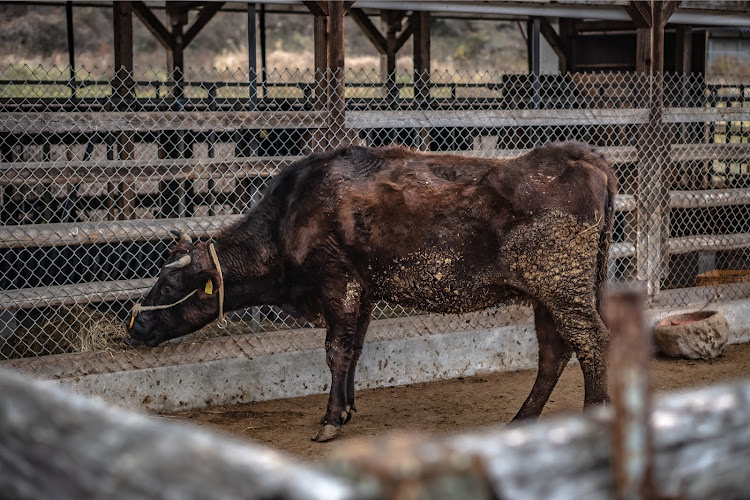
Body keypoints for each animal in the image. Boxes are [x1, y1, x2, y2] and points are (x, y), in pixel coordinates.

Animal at [129, 141, 620, 442]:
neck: (291, 213)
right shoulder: (362, 291)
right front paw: (346, 408)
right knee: (554, 352)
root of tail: (581, 156)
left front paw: (330, 420)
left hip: (563, 287)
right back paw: (523, 419)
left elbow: (335, 351)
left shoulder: (338, 284)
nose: (134, 327)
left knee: (591, 342)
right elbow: (355, 350)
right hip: (548, 295)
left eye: (167, 283)